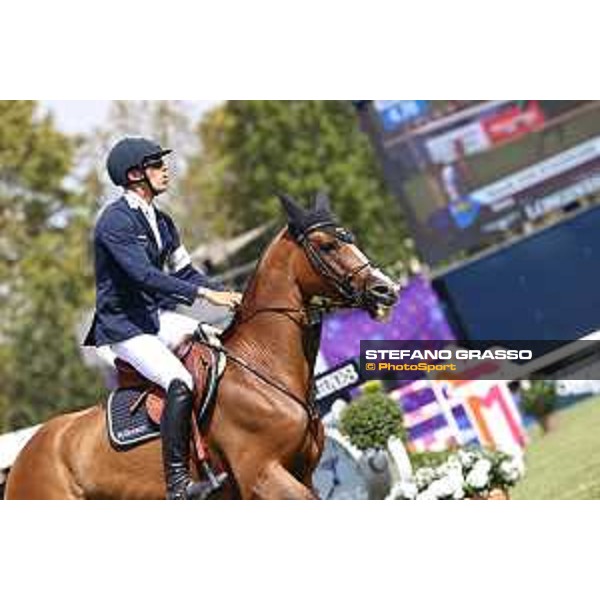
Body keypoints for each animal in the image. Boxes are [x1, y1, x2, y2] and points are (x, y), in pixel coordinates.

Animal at [5, 195, 398, 500]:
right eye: (327, 245)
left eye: (350, 238)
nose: (386, 290)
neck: (263, 369)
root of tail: (22, 458)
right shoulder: (263, 475)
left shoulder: (301, 474)